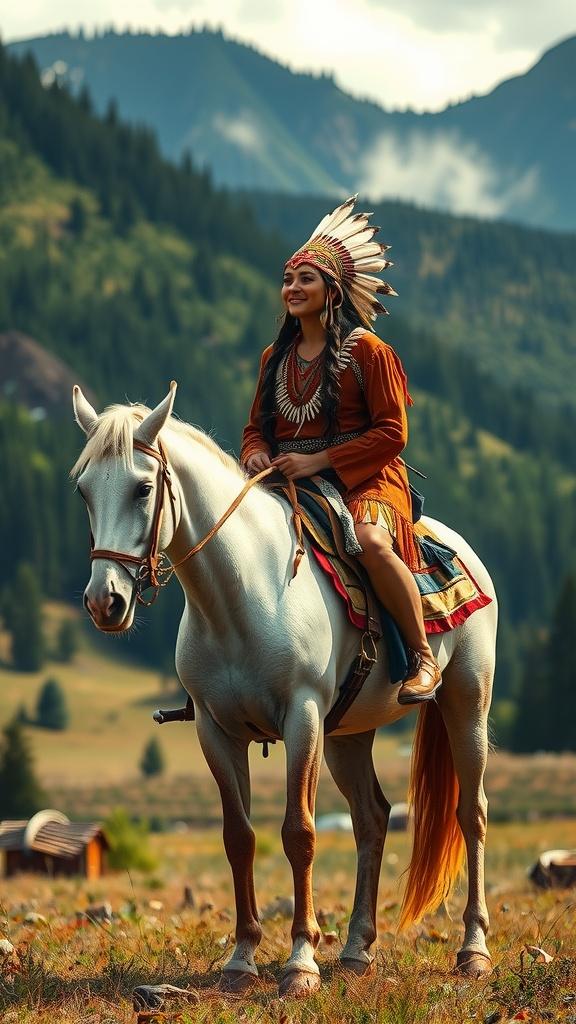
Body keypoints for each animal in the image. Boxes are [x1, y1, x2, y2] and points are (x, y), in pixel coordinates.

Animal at [70, 380, 494, 995]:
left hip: (467, 704)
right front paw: (242, 958)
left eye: (143, 487)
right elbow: (239, 837)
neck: (241, 596)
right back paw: (357, 949)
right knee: (371, 818)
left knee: (472, 812)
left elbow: (300, 833)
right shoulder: (215, 730)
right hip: (348, 735)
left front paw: (300, 961)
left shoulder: (303, 717)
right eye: (83, 491)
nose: (106, 602)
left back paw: (474, 951)